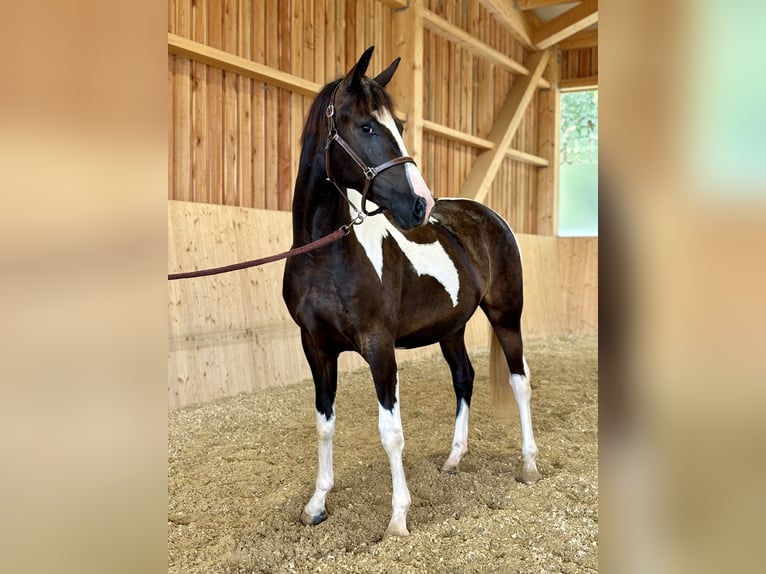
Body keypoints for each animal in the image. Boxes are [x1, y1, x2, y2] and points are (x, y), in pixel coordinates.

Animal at [282, 46, 540, 540]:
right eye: (367, 126)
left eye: (399, 126)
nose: (421, 204)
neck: (327, 255)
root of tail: (489, 216)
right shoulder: (315, 348)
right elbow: (324, 425)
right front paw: (317, 503)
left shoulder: (379, 347)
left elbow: (391, 432)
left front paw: (399, 517)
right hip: (451, 329)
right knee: (464, 378)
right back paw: (455, 458)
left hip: (507, 315)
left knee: (520, 381)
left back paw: (530, 464)